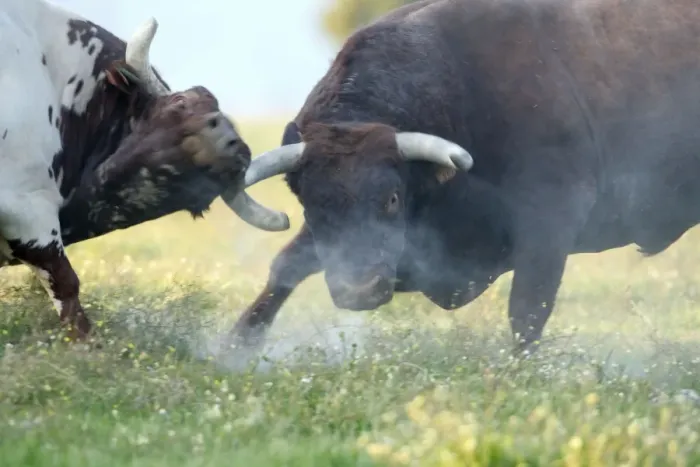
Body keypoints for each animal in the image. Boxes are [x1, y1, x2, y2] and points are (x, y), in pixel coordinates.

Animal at [224, 0, 700, 354]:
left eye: (392, 198)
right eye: (310, 203)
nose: (358, 290)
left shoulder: (551, 220)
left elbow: (528, 309)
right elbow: (285, 267)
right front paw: (235, 348)